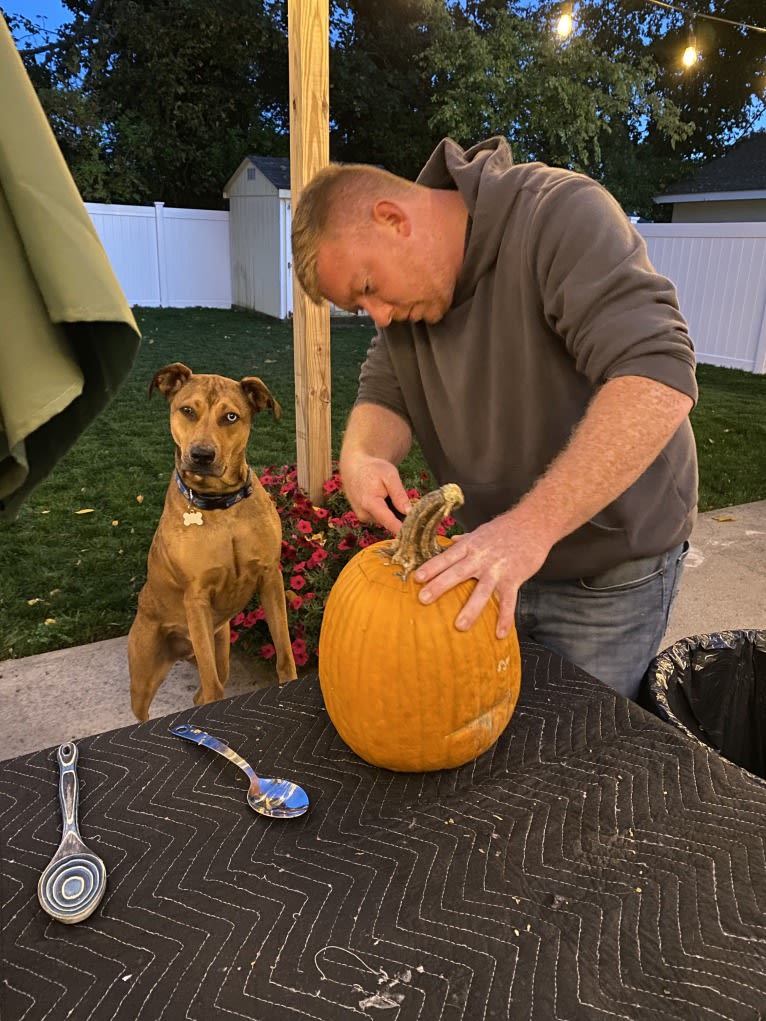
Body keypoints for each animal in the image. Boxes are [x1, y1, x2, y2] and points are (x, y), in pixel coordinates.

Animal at [129, 363, 296, 722]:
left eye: (231, 417)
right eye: (187, 410)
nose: (201, 455)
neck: (221, 506)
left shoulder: (270, 577)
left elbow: (284, 650)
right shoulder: (196, 597)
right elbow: (214, 690)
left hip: (220, 645)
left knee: (202, 690)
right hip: (145, 673)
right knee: (151, 707)